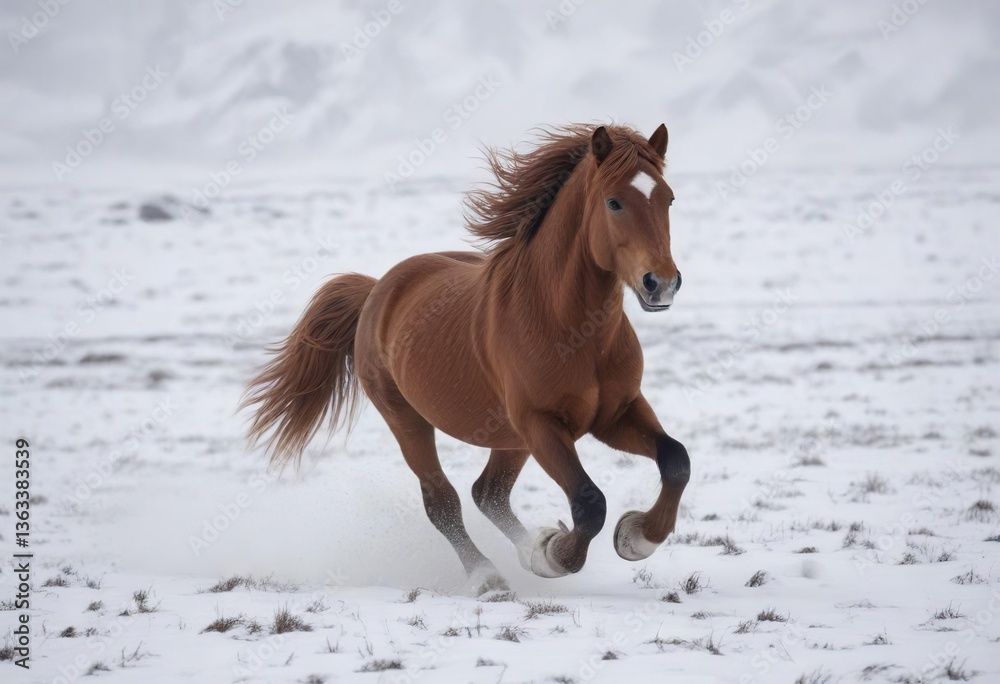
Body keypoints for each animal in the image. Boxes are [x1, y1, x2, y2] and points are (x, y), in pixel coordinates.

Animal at [241, 123, 689, 594]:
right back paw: (488, 575)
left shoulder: (617, 413)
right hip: (409, 419)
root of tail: (377, 288)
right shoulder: (542, 424)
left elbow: (676, 460)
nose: (662, 283)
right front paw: (554, 556)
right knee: (443, 500)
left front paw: (635, 538)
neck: (572, 330)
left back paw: (528, 549)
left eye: (668, 198)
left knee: (487, 492)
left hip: (509, 437)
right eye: (614, 202)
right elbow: (590, 503)